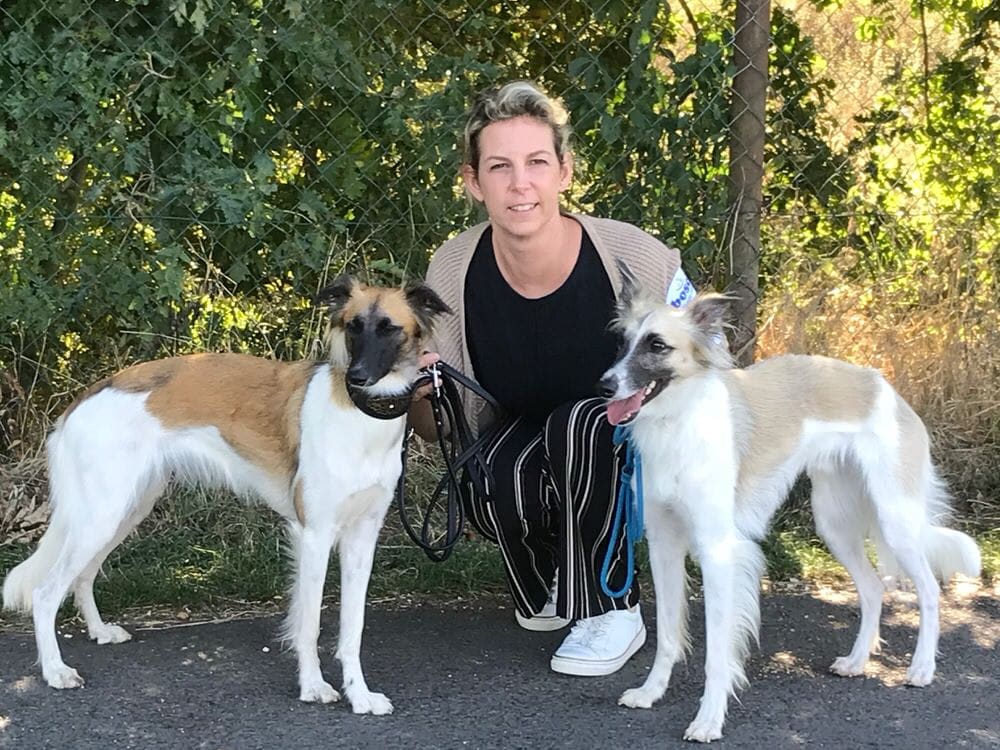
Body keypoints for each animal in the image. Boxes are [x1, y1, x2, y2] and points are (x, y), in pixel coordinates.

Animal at [2, 275, 450, 715]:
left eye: (389, 328)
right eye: (353, 326)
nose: (356, 377)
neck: (360, 420)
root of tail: (81, 402)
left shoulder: (362, 536)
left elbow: (352, 628)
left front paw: (360, 695)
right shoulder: (314, 533)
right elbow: (309, 624)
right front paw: (313, 687)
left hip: (124, 509)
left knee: (83, 574)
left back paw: (98, 631)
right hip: (102, 514)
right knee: (46, 593)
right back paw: (55, 671)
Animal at [598, 269, 981, 742]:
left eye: (657, 345)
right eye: (623, 342)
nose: (605, 385)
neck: (678, 422)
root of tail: (884, 387)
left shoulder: (718, 551)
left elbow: (717, 652)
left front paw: (708, 719)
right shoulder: (664, 545)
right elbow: (669, 634)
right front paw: (651, 693)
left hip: (896, 523)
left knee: (928, 590)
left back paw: (922, 667)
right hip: (834, 523)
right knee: (873, 588)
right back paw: (857, 662)